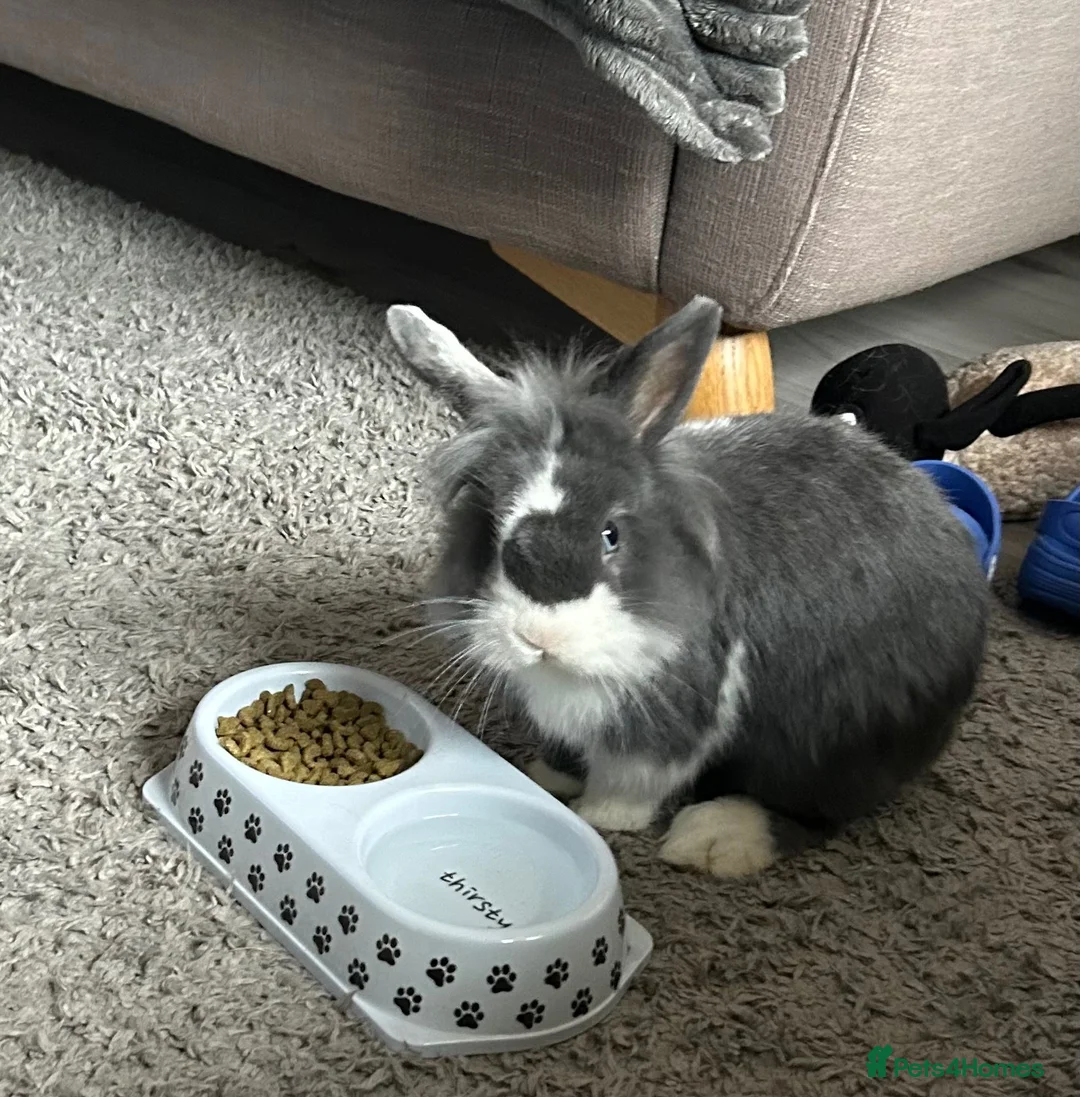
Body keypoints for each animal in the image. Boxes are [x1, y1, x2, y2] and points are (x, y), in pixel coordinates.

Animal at [385, 297, 990, 877]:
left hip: (833, 734)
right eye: (488, 528)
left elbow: (634, 777)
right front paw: (547, 779)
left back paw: (713, 842)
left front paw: (602, 818)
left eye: (611, 534)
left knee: (818, 809)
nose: (538, 638)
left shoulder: (675, 708)